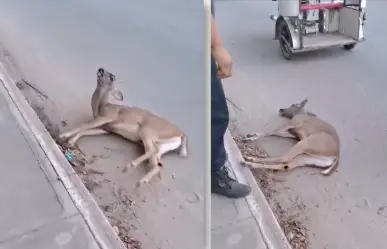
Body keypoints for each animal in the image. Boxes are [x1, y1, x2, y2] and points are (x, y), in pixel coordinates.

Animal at [58, 67, 189, 186]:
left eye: (112, 77)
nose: (101, 69)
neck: (100, 107)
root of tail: (181, 135)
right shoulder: (106, 129)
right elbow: (86, 130)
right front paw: (70, 141)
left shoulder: (107, 117)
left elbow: (84, 125)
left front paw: (63, 135)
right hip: (161, 147)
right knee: (157, 164)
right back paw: (140, 181)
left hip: (147, 130)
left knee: (152, 151)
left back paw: (129, 166)